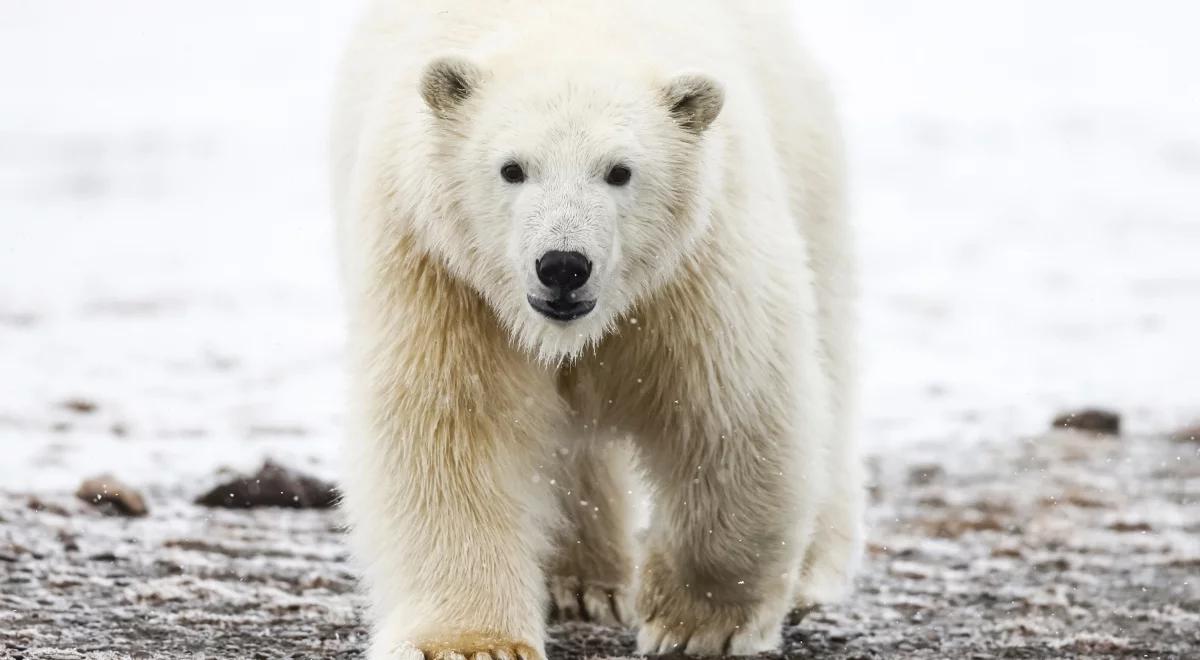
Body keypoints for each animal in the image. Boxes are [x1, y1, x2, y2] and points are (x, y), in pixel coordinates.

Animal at [328, 2, 868, 657]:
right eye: (512, 168)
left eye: (619, 171)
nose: (563, 265)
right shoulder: (440, 270)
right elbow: (453, 427)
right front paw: (472, 641)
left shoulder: (694, 266)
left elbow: (729, 410)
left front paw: (697, 626)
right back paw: (583, 582)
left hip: (809, 166)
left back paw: (810, 570)